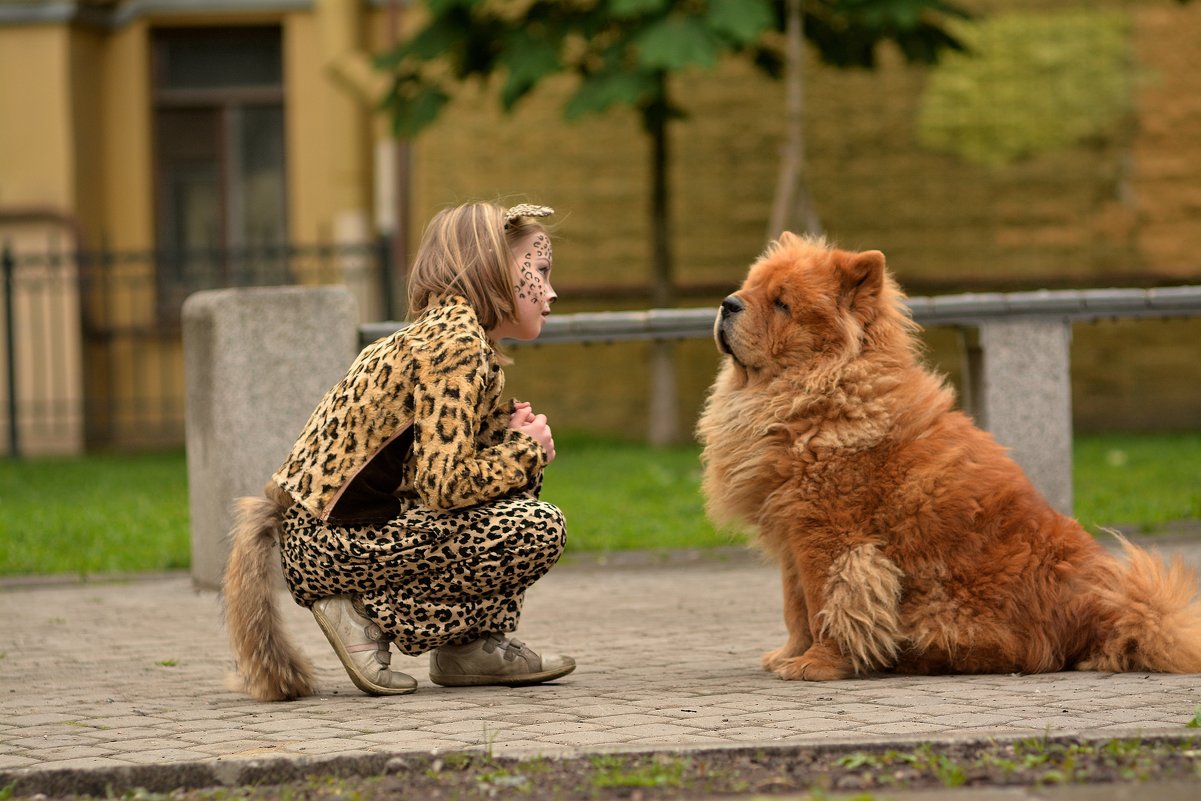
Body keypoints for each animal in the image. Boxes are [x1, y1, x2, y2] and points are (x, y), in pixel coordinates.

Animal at [696, 232, 1201, 682]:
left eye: (782, 304)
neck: (813, 393)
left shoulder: (827, 536)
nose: (727, 303)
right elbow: (795, 607)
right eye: (749, 288)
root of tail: (1104, 613)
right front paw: (787, 655)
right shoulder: (789, 536)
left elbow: (827, 603)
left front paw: (815, 665)